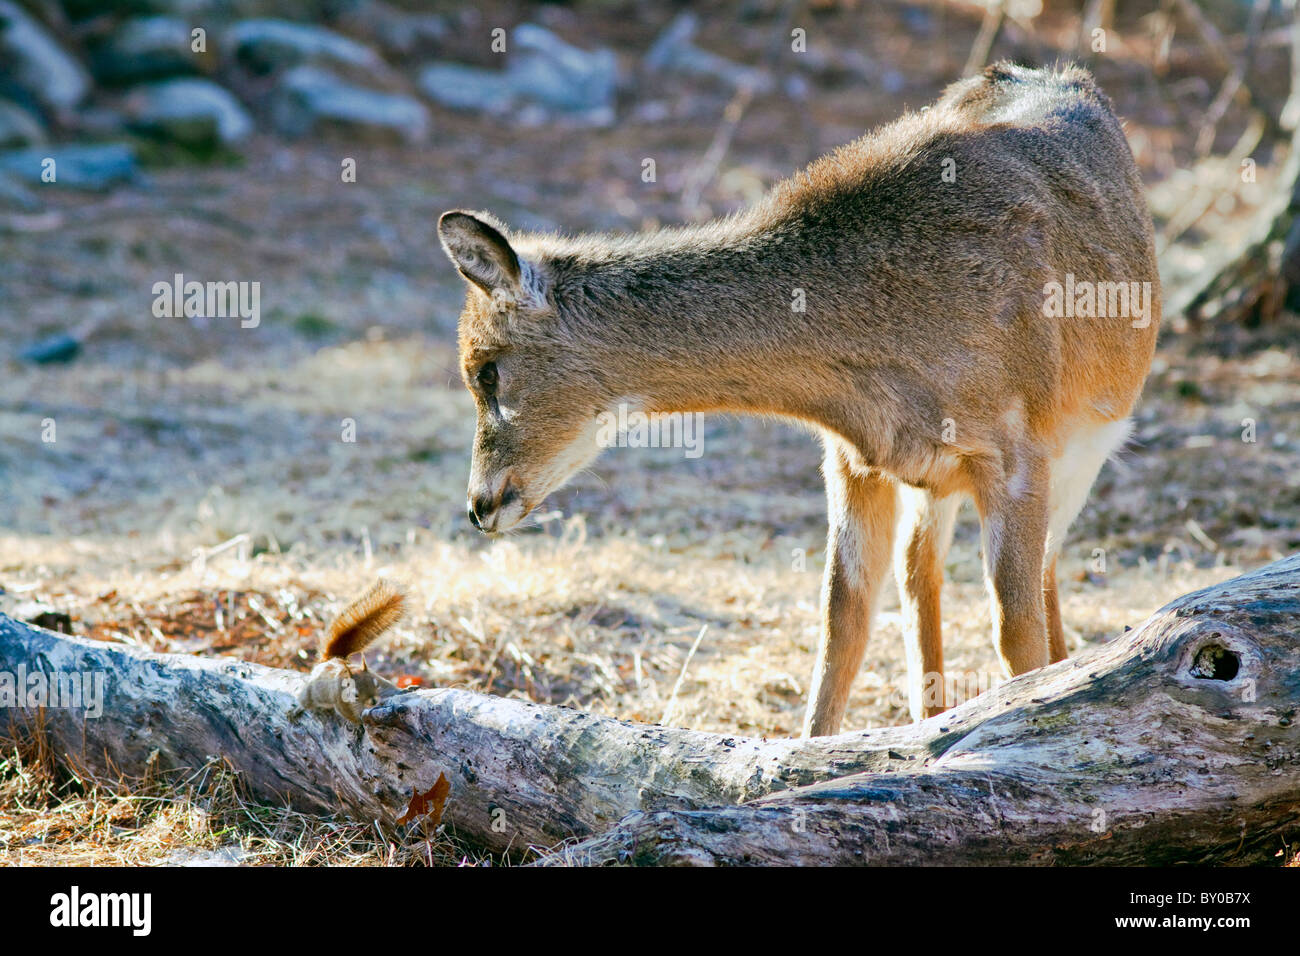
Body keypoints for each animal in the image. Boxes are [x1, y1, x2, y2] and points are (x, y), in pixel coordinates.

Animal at [293, 574, 405, 723]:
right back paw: (297, 709)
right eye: (355, 694)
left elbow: (390, 687)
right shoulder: (340, 700)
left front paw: (405, 690)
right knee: (305, 699)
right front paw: (360, 723)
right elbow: (349, 715)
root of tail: (330, 659)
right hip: (311, 692)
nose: (373, 701)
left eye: (376, 685)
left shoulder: (379, 679)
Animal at [436, 63, 1159, 738]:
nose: (479, 504)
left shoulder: (1017, 451)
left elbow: (1015, 631)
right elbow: (843, 618)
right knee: (919, 571)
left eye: (486, 372)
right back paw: (933, 716)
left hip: (1087, 444)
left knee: (1042, 573)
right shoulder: (852, 459)